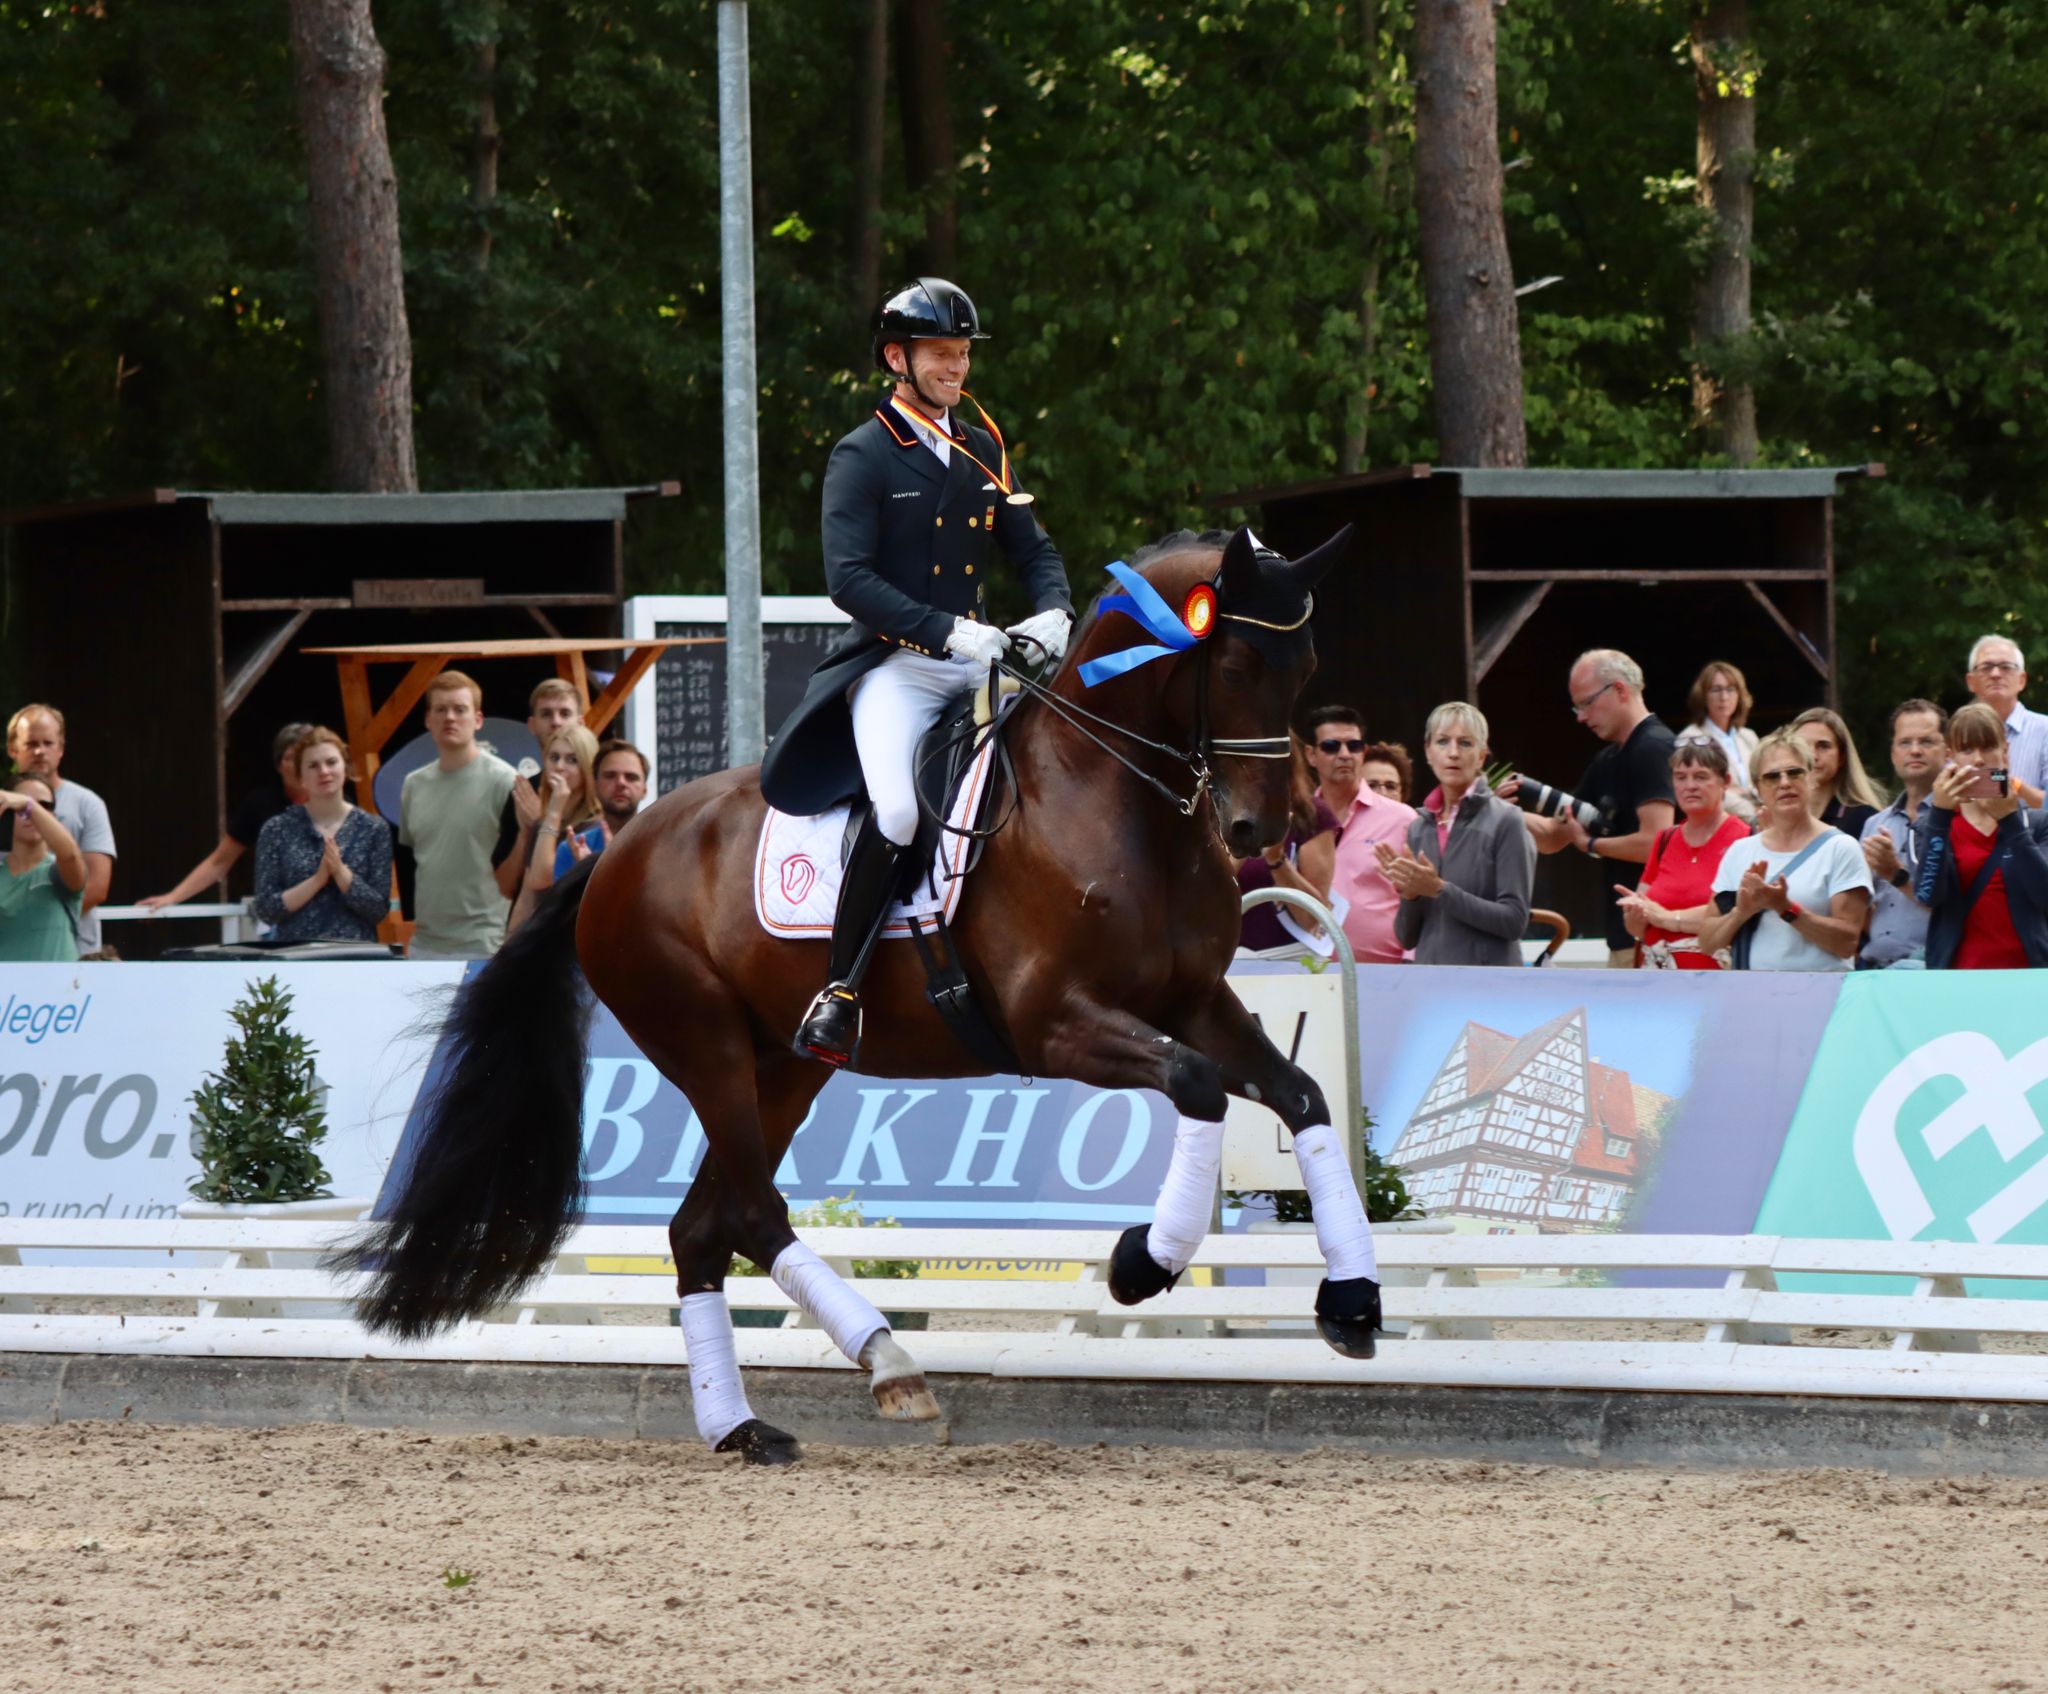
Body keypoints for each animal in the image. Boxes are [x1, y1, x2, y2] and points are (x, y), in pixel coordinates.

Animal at [344, 524, 1384, 1466]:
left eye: (1306, 665)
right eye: (1238, 660)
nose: (1264, 828)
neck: (1114, 801)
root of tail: (613, 852)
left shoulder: (1196, 1002)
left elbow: (1299, 1094)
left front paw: (1352, 1301)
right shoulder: (1054, 1026)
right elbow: (1201, 1085)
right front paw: (1142, 1264)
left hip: (786, 1066)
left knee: (702, 1229)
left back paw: (742, 1428)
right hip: (704, 1044)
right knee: (753, 1215)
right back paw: (890, 1365)